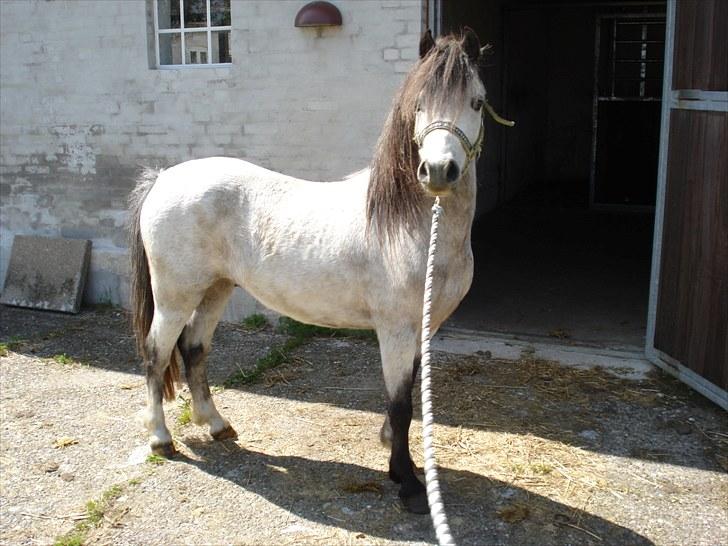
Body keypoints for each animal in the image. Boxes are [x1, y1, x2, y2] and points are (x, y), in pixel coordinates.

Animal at [128, 28, 488, 514]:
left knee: (194, 349)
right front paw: (408, 482)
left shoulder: (420, 330)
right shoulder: (396, 329)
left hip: (216, 289)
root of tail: (163, 178)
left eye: (476, 102)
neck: (410, 224)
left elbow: (407, 392)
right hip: (175, 297)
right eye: (419, 105)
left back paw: (217, 425)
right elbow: (401, 404)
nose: (438, 171)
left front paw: (396, 457)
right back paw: (161, 438)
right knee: (156, 354)